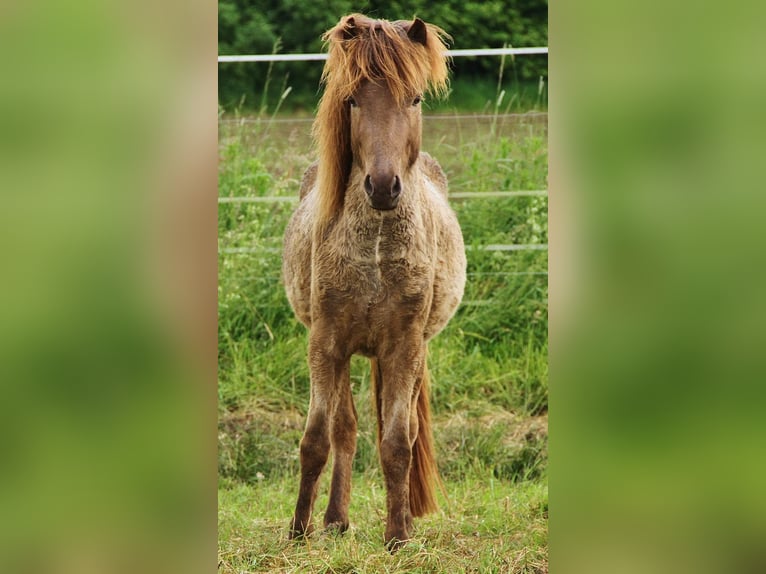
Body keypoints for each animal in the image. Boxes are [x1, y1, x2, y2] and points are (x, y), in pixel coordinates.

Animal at [280, 13, 464, 552]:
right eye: (353, 100)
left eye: (415, 99)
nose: (383, 187)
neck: (377, 253)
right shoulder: (325, 343)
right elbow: (317, 439)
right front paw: (298, 530)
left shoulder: (403, 345)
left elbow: (398, 443)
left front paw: (398, 534)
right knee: (345, 429)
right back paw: (334, 519)